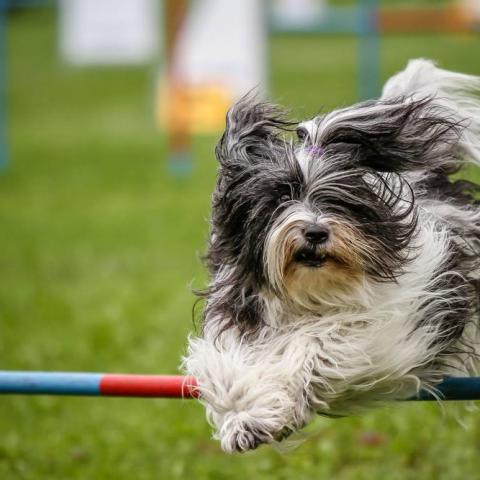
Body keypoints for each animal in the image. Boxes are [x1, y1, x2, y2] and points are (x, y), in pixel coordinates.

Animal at [182, 60, 480, 454]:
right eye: (281, 196)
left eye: (335, 200)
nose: (315, 232)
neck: (313, 291)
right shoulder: (238, 317)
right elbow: (231, 368)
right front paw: (247, 420)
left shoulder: (390, 324)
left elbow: (316, 343)